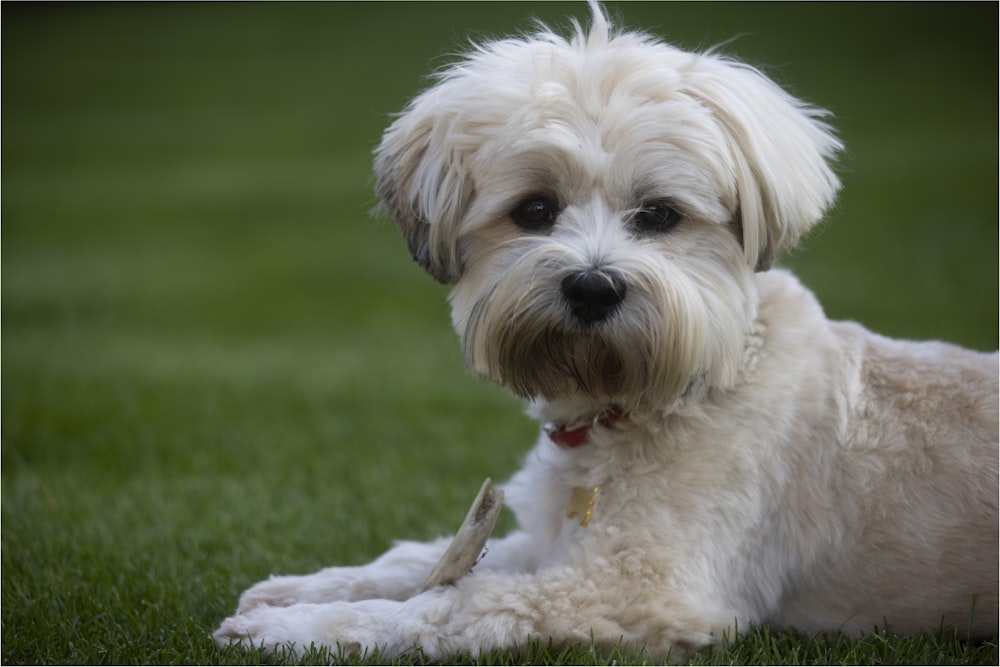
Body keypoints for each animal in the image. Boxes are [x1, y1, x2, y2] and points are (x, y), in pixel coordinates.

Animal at [215, 3, 996, 664]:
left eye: (660, 214)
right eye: (535, 209)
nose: (592, 287)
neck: (675, 387)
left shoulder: (630, 588)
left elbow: (453, 605)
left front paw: (294, 629)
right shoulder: (551, 537)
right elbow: (419, 560)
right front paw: (299, 589)